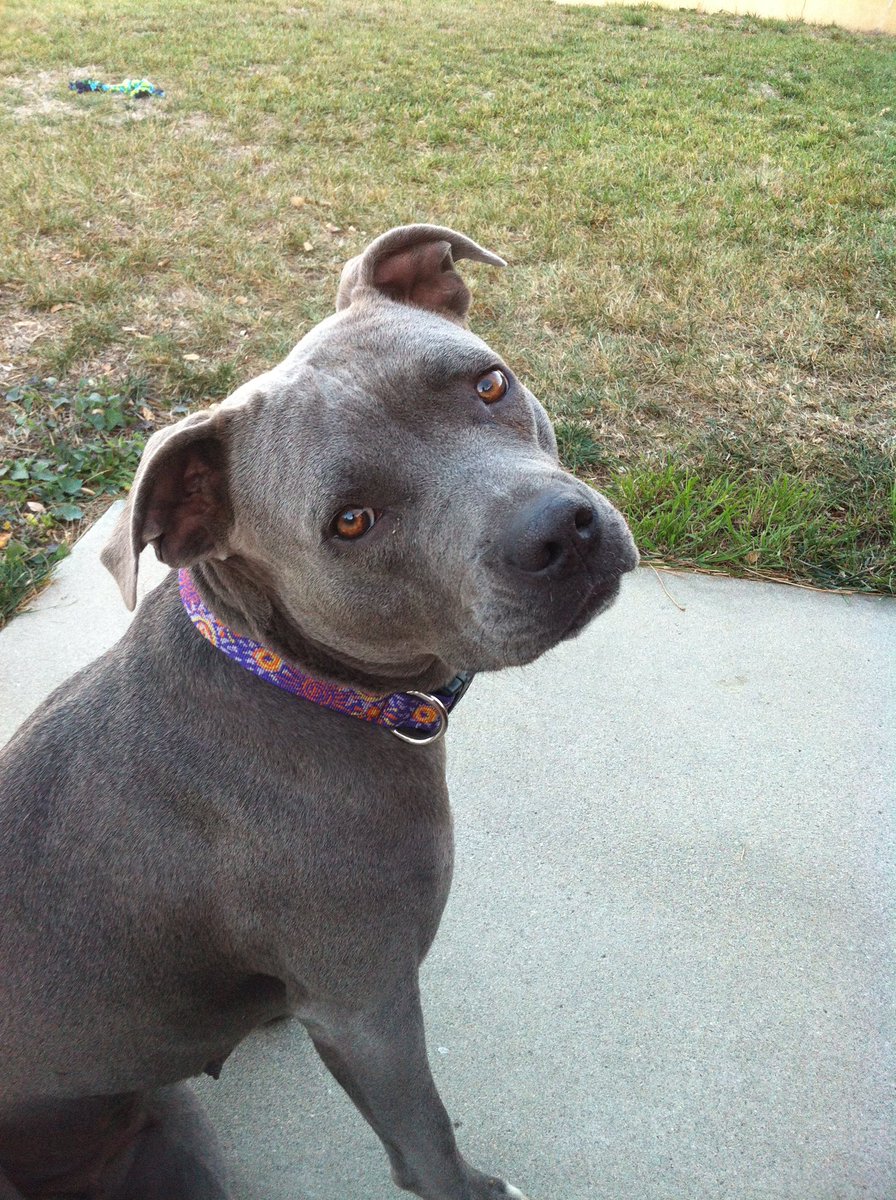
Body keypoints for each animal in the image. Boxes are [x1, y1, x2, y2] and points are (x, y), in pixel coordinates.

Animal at [0, 225, 639, 1199]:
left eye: (489, 384)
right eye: (351, 521)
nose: (558, 529)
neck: (291, 679)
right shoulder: (366, 1004)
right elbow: (422, 1136)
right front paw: (471, 1188)